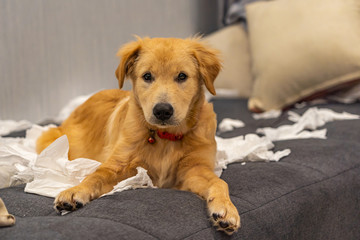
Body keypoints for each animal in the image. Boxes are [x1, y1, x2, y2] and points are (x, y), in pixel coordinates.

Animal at [36, 37, 240, 234]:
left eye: (182, 76)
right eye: (147, 76)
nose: (162, 111)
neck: (166, 137)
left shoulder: (194, 170)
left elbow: (220, 182)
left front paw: (226, 210)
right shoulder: (119, 166)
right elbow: (95, 176)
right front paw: (75, 191)